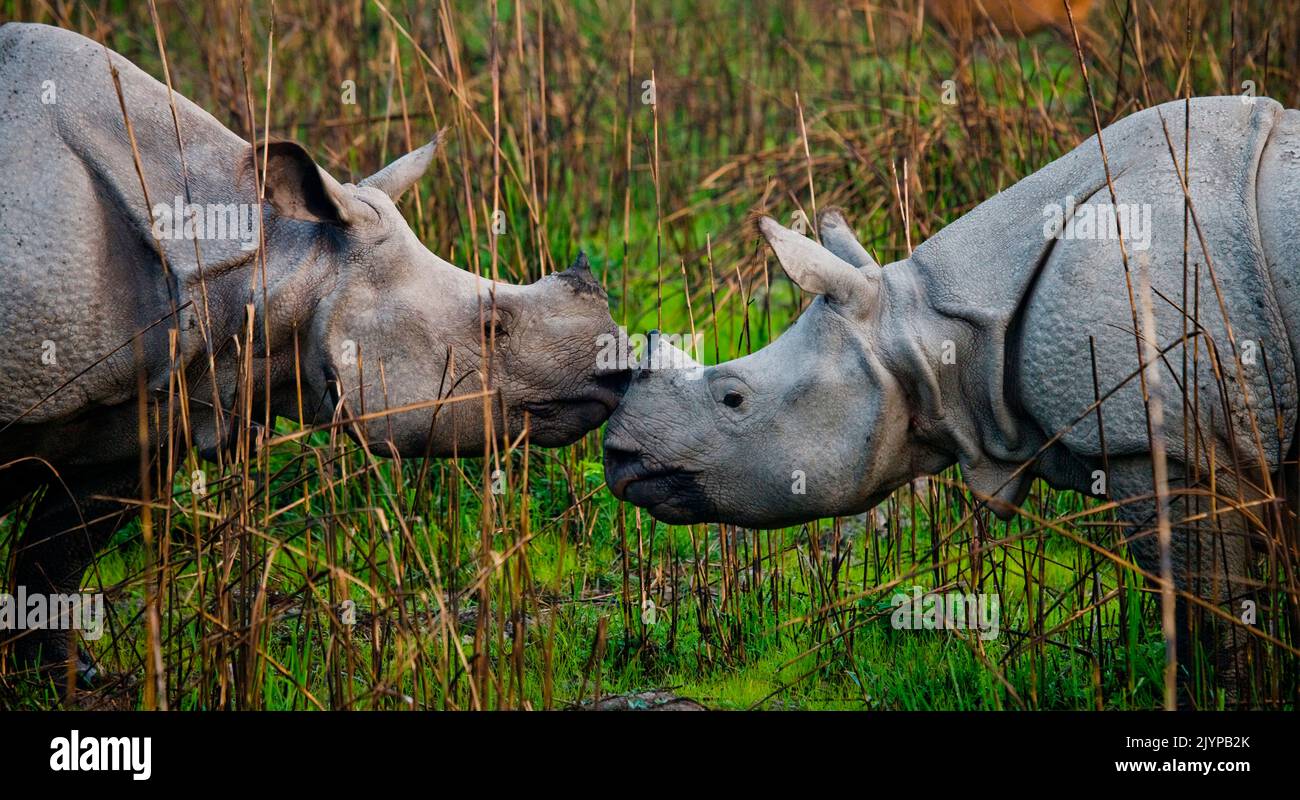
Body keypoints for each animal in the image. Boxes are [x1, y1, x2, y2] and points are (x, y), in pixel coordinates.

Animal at [0, 23, 628, 677]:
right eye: (492, 326)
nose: (617, 372)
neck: (269, 265)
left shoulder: (156, 407)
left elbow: (58, 550)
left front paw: (67, 677)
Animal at [605, 95, 1300, 701]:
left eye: (733, 399)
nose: (618, 456)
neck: (936, 330)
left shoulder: (1161, 443)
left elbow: (1208, 607)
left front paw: (1227, 696)